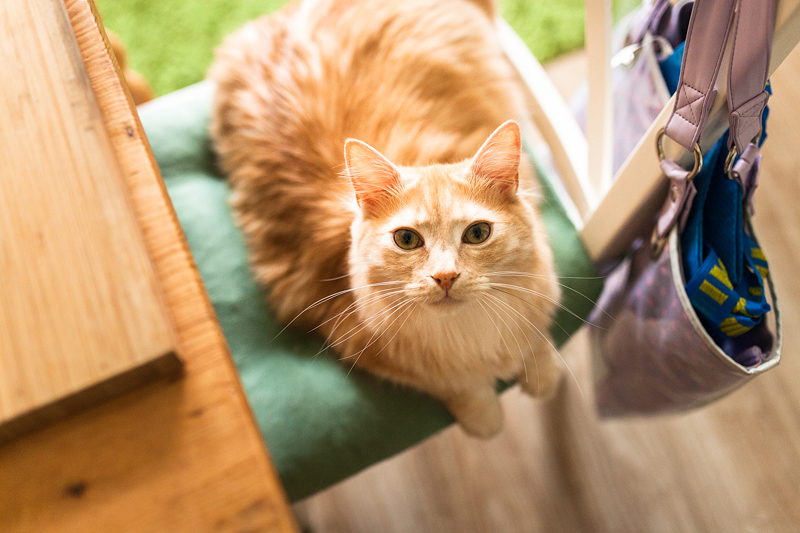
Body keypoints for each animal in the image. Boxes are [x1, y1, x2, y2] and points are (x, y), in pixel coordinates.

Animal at [209, 0, 560, 434]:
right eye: (407, 239)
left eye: (478, 234)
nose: (445, 277)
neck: (466, 334)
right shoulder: (364, 342)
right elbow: (462, 388)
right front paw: (484, 417)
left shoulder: (542, 280)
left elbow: (538, 341)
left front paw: (543, 373)